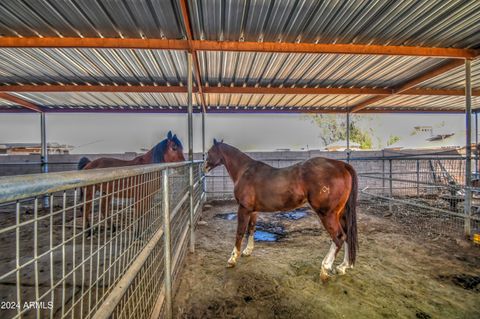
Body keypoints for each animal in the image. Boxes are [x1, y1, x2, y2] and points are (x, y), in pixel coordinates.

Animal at [204, 141, 358, 282]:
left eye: (209, 152)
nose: (204, 168)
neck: (245, 171)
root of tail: (341, 165)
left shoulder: (243, 209)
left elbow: (240, 232)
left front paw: (232, 259)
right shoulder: (253, 211)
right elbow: (251, 229)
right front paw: (248, 251)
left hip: (327, 214)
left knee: (338, 237)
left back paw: (325, 268)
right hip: (340, 214)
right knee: (347, 235)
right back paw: (343, 266)